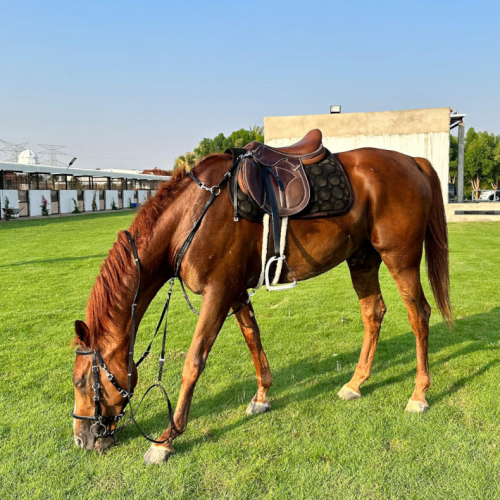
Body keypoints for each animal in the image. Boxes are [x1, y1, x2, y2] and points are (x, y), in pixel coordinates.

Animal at [72, 145, 452, 464]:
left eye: (80, 382)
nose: (80, 439)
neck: (191, 217)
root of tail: (412, 160)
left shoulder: (218, 292)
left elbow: (193, 362)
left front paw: (166, 439)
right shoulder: (236, 291)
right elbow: (253, 338)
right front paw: (261, 396)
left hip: (400, 258)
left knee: (419, 315)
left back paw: (419, 394)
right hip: (362, 259)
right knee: (373, 314)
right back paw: (355, 383)